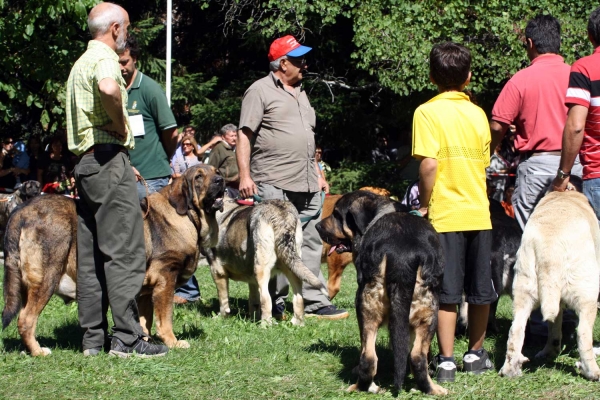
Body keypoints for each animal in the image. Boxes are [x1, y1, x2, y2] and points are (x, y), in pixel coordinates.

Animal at [1, 166, 225, 356]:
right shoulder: (165, 279)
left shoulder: (146, 291)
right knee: (26, 319)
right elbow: (165, 318)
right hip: (46, 279)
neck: (189, 217)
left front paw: (145, 342)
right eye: (198, 177)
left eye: (216, 171)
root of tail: (21, 211)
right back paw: (38, 351)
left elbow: (144, 321)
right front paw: (173, 342)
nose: (220, 180)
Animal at [316, 191, 448, 396]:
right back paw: (431, 389)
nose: (317, 226)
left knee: (369, 357)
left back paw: (363, 386)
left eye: (337, 214)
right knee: (417, 357)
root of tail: (401, 258)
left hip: (367, 307)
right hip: (429, 312)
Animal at [500, 192, 600, 380]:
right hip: (586, 293)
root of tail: (549, 245)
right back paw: (592, 372)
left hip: (524, 290)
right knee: (583, 334)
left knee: (516, 330)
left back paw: (513, 368)